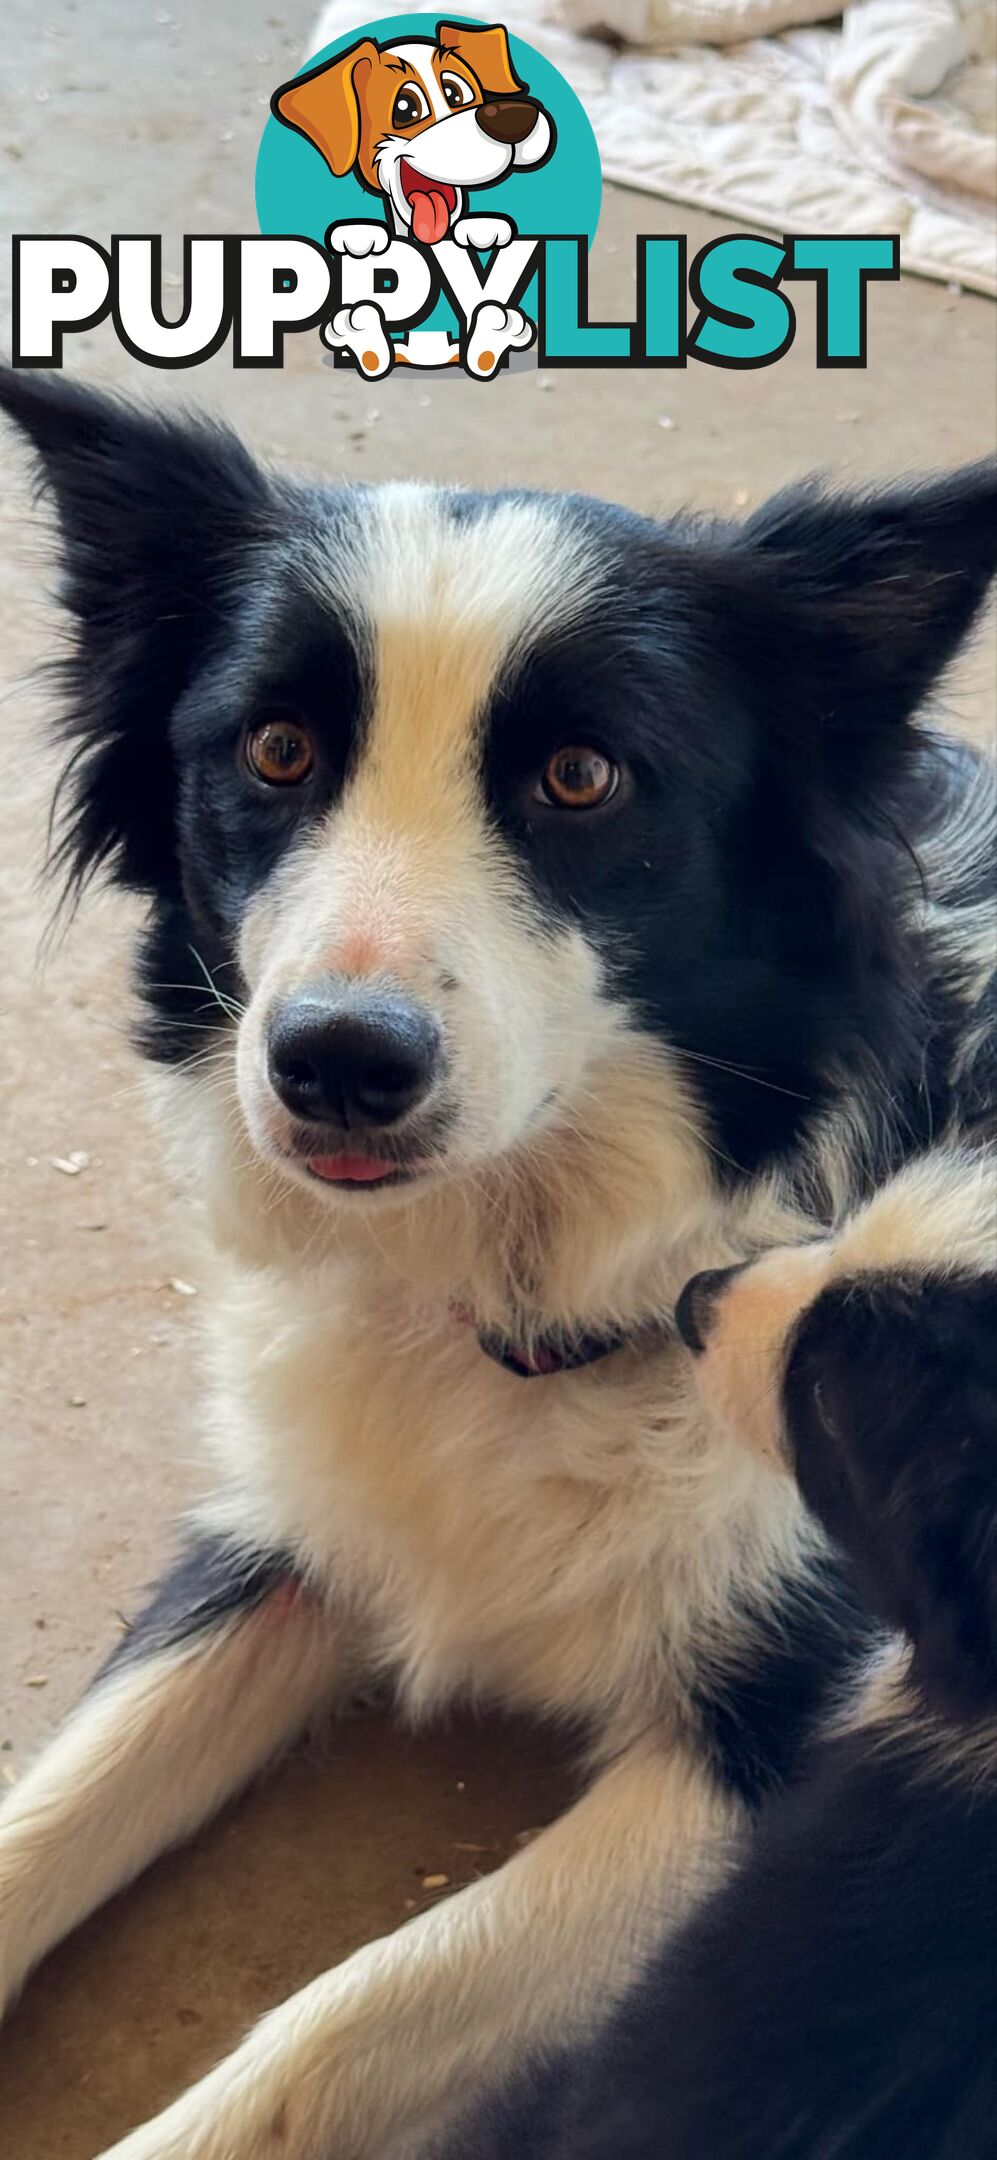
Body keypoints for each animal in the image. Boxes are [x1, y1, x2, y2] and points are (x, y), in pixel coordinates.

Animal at [0, 362, 992, 2151]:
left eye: (582, 779)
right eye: (274, 748)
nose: (336, 1063)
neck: (525, 1295)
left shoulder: (783, 1731)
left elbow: (336, 2017)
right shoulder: (289, 1525)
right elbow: (48, 1809)